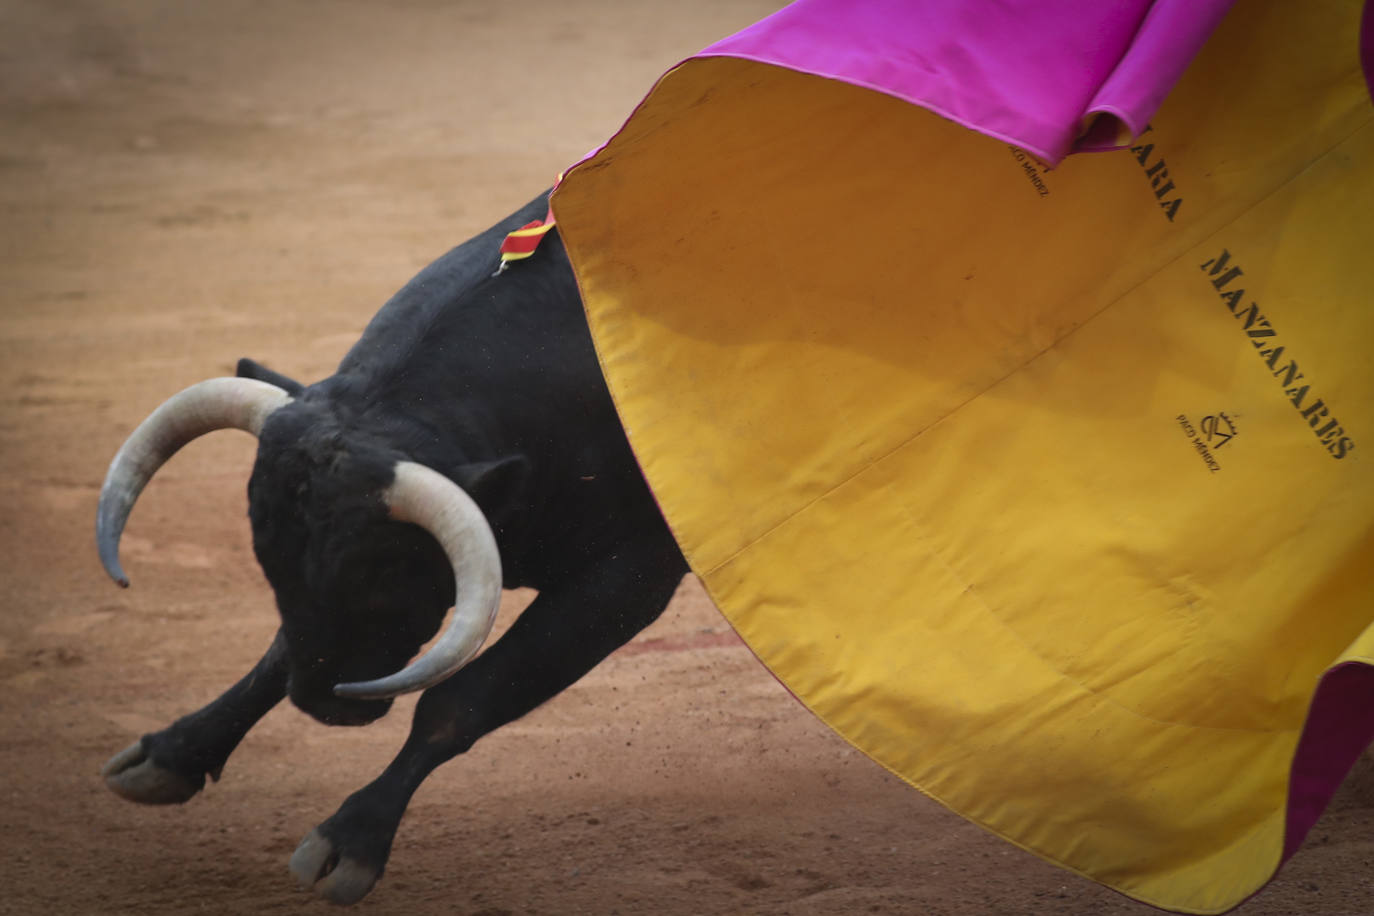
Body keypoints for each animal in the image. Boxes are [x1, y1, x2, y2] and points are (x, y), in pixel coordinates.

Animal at [99, 193, 687, 900]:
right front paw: (173, 753)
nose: (321, 707)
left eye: (383, 586)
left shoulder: (630, 575)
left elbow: (462, 698)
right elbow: (278, 653)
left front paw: (350, 840)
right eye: (268, 567)